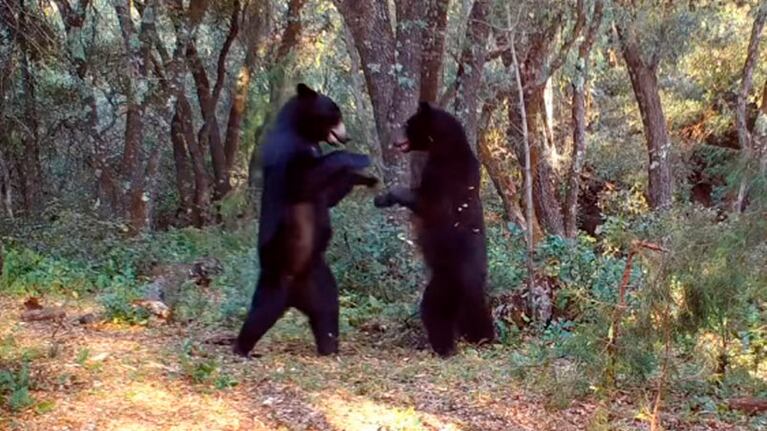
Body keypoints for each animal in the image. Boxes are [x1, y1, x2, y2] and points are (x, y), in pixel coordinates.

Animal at [234, 83, 377, 357]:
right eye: (336, 114)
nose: (347, 137)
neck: (303, 132)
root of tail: (295, 295)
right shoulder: (285, 151)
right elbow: (302, 179)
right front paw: (360, 158)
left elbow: (327, 195)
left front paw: (365, 177)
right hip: (277, 273)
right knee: (260, 312)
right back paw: (242, 348)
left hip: (320, 278)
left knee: (328, 310)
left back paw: (329, 346)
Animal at [374, 102, 495, 357]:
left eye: (407, 123)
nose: (394, 140)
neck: (444, 146)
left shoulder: (445, 177)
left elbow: (426, 201)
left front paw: (383, 197)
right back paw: (479, 337)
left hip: (446, 284)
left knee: (435, 312)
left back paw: (447, 346)